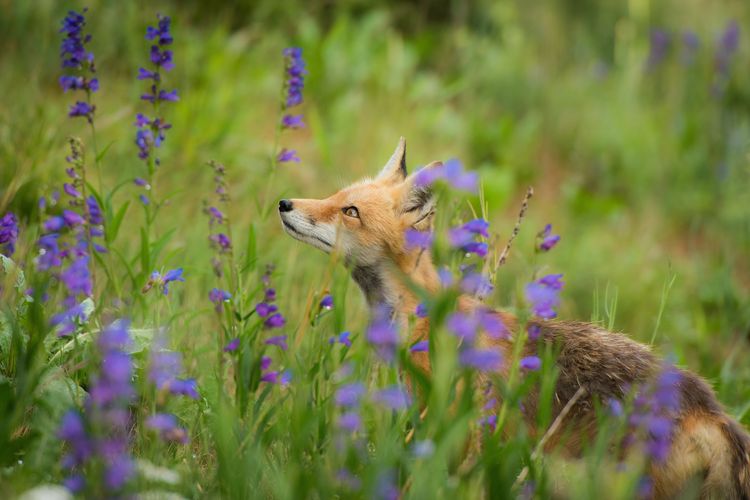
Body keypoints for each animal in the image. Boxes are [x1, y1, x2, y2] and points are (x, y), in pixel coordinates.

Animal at [280, 138, 750, 500]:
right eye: (335, 198)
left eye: (350, 212)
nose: (284, 202)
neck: (423, 318)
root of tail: (712, 410)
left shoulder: (450, 432)